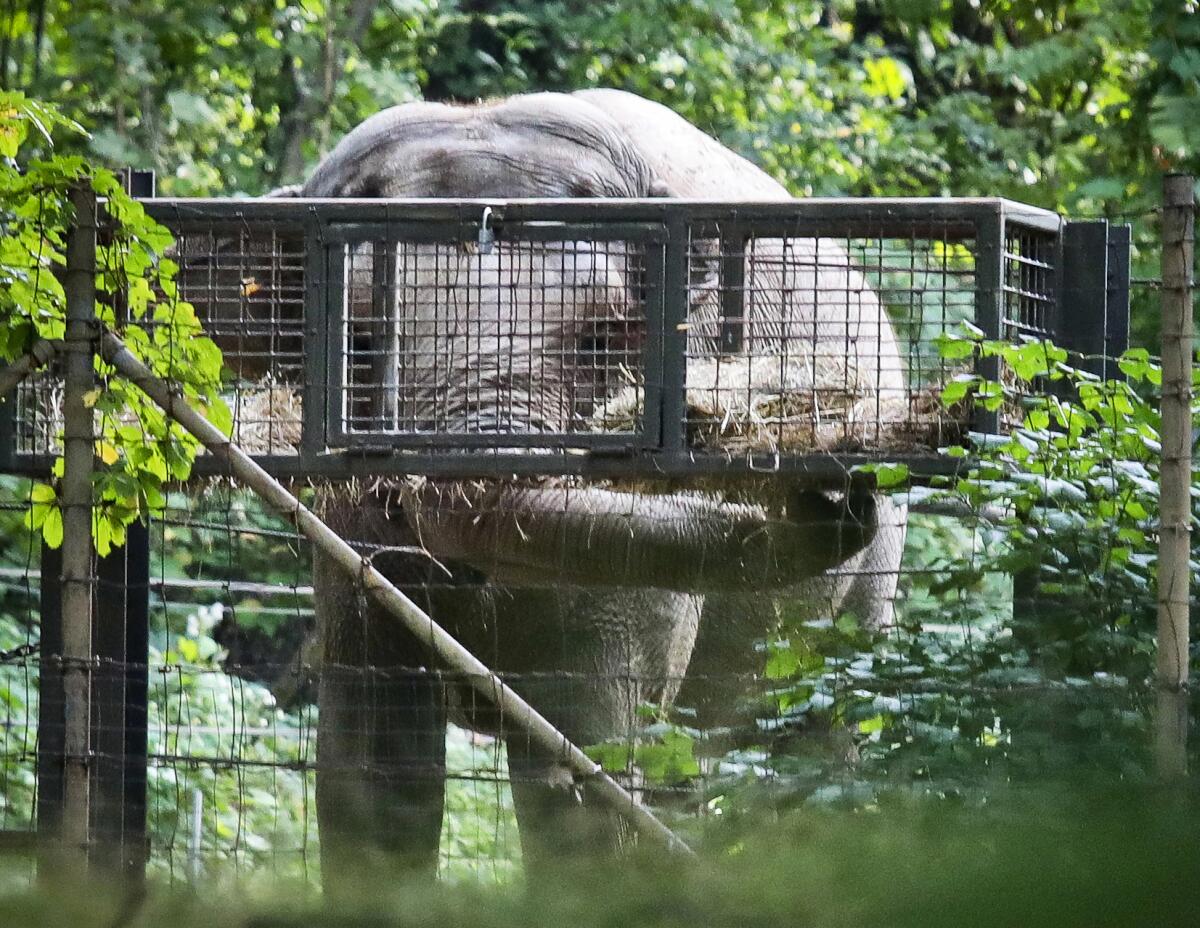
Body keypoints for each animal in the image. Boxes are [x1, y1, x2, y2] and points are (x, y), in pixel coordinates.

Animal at [260, 90, 902, 888]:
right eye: (362, 339)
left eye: (603, 337)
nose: (837, 494)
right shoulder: (346, 530)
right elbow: (372, 779)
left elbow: (581, 777)